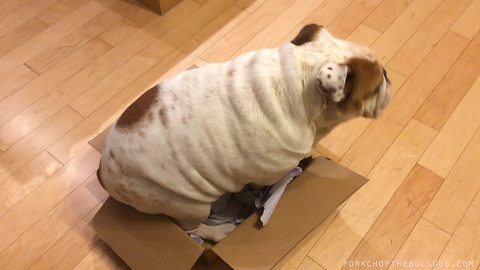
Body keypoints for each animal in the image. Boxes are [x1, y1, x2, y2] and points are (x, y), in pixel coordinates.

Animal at [96, 24, 390, 242]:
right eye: (376, 87)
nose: (389, 77)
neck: (297, 81)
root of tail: (103, 171)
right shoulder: (268, 173)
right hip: (187, 205)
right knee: (190, 228)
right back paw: (218, 232)